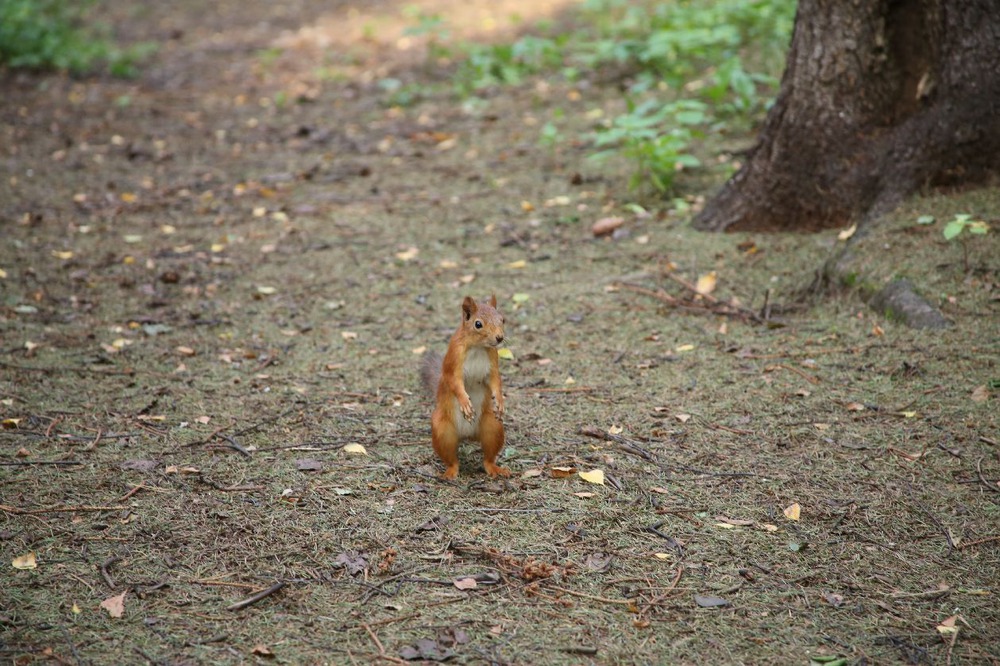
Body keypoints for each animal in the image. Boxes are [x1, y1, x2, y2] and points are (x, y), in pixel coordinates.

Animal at [420, 294, 508, 474]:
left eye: (502, 319)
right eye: (478, 324)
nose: (499, 338)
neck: (477, 347)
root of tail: (467, 435)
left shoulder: (492, 364)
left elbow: (496, 381)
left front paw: (500, 401)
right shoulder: (454, 362)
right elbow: (455, 383)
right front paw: (465, 403)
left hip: (493, 427)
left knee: (488, 458)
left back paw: (495, 469)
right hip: (442, 430)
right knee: (451, 459)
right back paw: (449, 473)